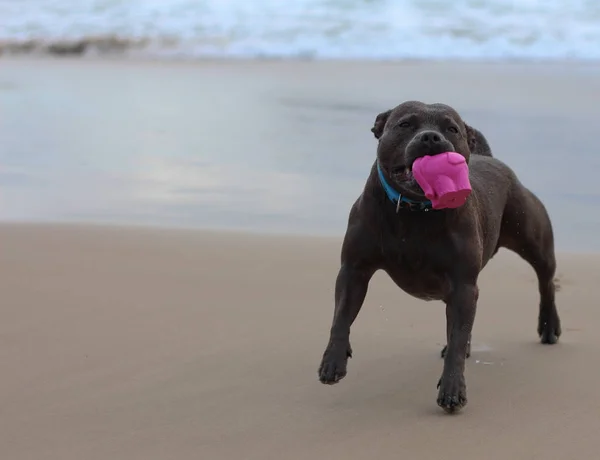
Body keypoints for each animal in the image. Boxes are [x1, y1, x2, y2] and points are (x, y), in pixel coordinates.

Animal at [318, 100, 564, 414]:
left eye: (451, 129)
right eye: (405, 124)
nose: (431, 137)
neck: (414, 209)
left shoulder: (462, 284)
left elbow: (457, 338)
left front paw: (452, 389)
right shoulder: (354, 269)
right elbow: (341, 316)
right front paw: (333, 361)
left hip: (531, 237)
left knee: (545, 279)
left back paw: (549, 325)